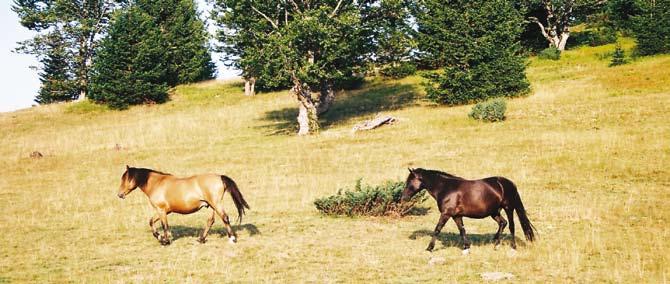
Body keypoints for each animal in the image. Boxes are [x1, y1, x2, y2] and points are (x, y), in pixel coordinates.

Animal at [117, 165, 251, 245]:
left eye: (125, 179)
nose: (119, 194)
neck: (157, 184)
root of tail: (219, 177)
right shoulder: (164, 211)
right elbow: (151, 222)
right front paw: (159, 237)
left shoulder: (161, 210)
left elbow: (164, 226)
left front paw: (165, 240)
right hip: (211, 206)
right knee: (211, 221)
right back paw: (201, 239)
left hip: (216, 204)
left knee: (225, 218)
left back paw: (232, 238)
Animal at [402, 168, 540, 252]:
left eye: (409, 181)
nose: (403, 198)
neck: (445, 188)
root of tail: (509, 183)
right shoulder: (456, 215)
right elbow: (462, 230)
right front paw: (466, 246)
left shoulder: (446, 214)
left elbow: (437, 229)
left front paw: (429, 248)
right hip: (494, 212)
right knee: (503, 223)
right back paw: (495, 243)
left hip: (508, 208)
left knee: (511, 226)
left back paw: (513, 246)